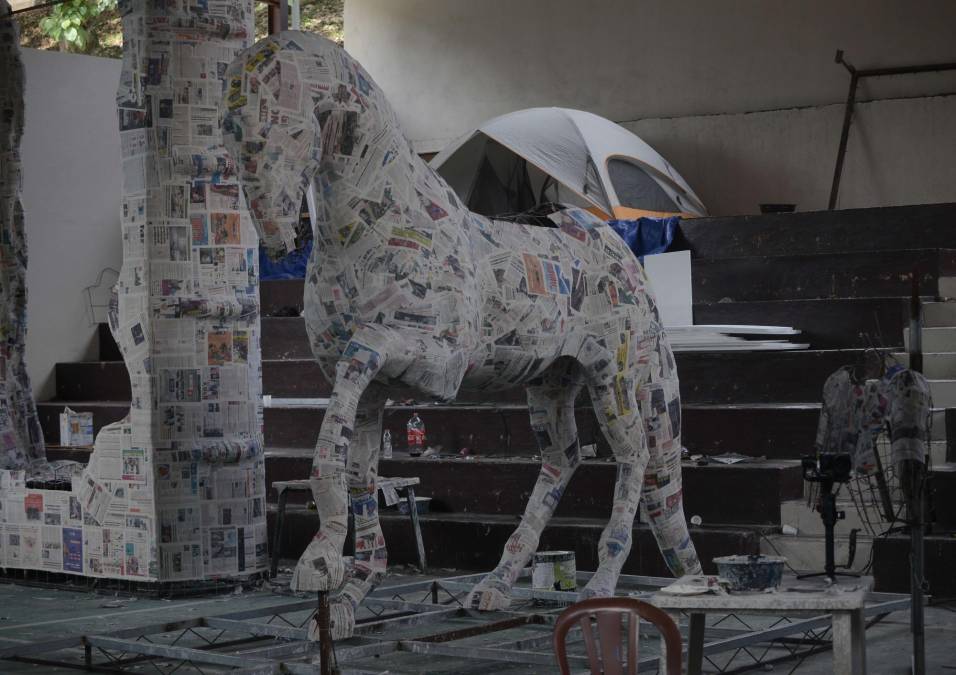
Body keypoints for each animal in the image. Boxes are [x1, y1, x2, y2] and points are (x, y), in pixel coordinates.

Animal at [224, 30, 704, 640]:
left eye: (286, 122)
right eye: (231, 127)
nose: (279, 238)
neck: (380, 222)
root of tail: (622, 251)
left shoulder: (429, 364)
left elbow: (359, 362)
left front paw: (318, 562)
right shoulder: (371, 391)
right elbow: (356, 467)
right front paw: (348, 595)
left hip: (612, 377)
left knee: (635, 456)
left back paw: (599, 585)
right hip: (552, 382)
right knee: (563, 458)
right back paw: (494, 586)